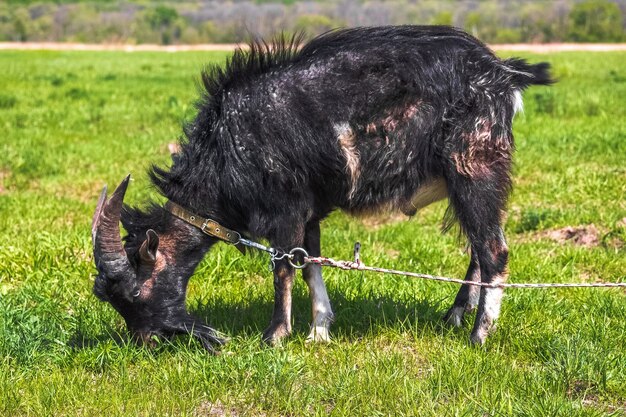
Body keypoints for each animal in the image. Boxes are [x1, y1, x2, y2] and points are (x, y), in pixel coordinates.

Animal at [91, 26, 552, 350]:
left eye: (135, 290)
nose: (147, 343)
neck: (228, 144)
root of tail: (503, 73)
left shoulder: (286, 206)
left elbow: (283, 267)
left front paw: (275, 336)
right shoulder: (309, 211)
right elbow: (310, 261)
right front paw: (319, 331)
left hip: (474, 165)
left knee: (494, 250)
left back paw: (479, 336)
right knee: (479, 245)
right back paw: (456, 314)